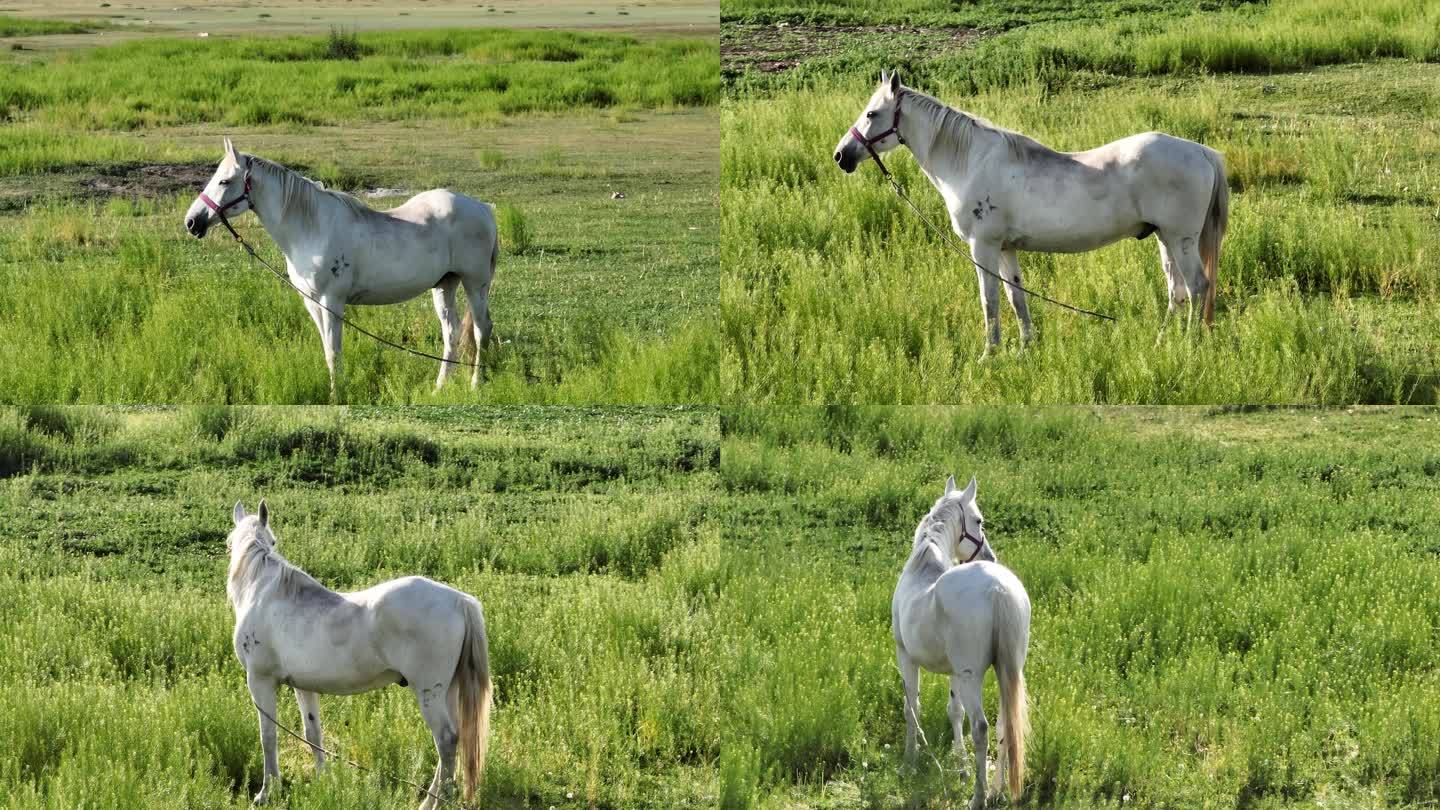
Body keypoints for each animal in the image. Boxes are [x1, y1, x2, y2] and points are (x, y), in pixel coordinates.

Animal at [185, 139, 501, 397]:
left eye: (225, 181)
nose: (191, 222)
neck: (312, 229)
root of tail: (483, 208)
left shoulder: (332, 302)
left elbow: (334, 351)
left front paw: (337, 395)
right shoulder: (312, 302)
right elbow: (328, 350)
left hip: (475, 283)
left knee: (481, 329)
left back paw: (475, 385)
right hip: (445, 284)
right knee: (451, 333)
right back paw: (440, 387)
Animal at [224, 498, 492, 807]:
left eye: (273, 540)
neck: (264, 594)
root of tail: (460, 601)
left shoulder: (260, 680)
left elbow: (268, 736)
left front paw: (266, 793)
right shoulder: (302, 686)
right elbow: (313, 733)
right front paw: (323, 780)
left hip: (429, 692)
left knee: (446, 740)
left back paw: (435, 802)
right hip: (447, 690)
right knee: (453, 739)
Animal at [840, 73, 1232, 353]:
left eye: (872, 113)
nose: (841, 155)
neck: (971, 161)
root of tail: (1201, 152)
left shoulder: (983, 246)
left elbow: (989, 300)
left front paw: (989, 355)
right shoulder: (1005, 248)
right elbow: (1016, 296)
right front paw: (1026, 348)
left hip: (1181, 239)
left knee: (1197, 287)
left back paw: (1190, 345)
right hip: (1165, 238)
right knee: (1176, 291)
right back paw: (1163, 342)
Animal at [892, 472, 1031, 807]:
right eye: (978, 520)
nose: (990, 555)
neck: (923, 566)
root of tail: (998, 590)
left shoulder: (906, 657)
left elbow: (911, 708)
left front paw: (909, 762)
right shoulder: (952, 671)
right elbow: (954, 712)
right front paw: (961, 766)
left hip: (972, 677)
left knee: (981, 727)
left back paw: (979, 797)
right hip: (1007, 671)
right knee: (1005, 725)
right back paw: (996, 790)